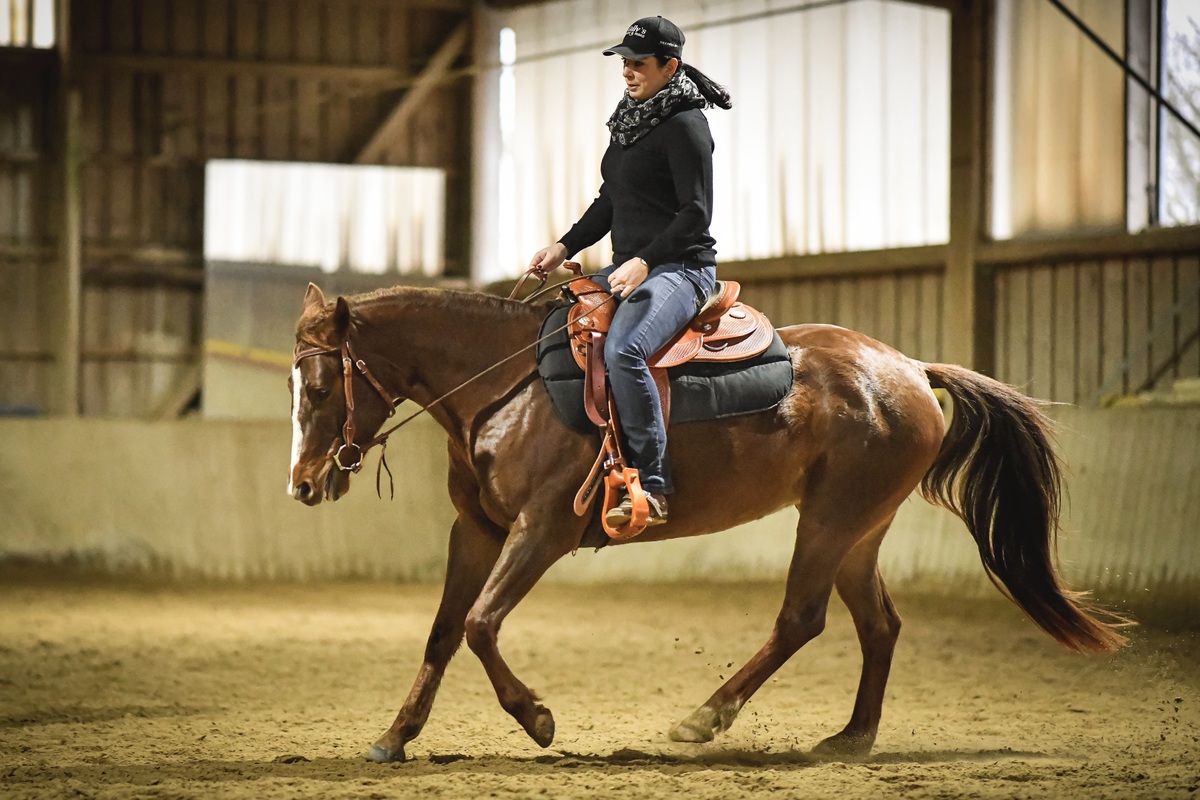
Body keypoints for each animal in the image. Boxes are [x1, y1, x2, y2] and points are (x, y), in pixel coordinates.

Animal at [288, 283, 1123, 762]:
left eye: (323, 384)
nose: (302, 483)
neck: (507, 386)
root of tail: (911, 369)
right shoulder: (478, 532)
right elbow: (443, 631)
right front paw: (395, 737)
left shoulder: (541, 532)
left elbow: (481, 624)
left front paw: (537, 718)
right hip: (860, 531)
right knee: (878, 626)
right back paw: (850, 737)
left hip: (831, 521)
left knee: (801, 619)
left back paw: (703, 718)